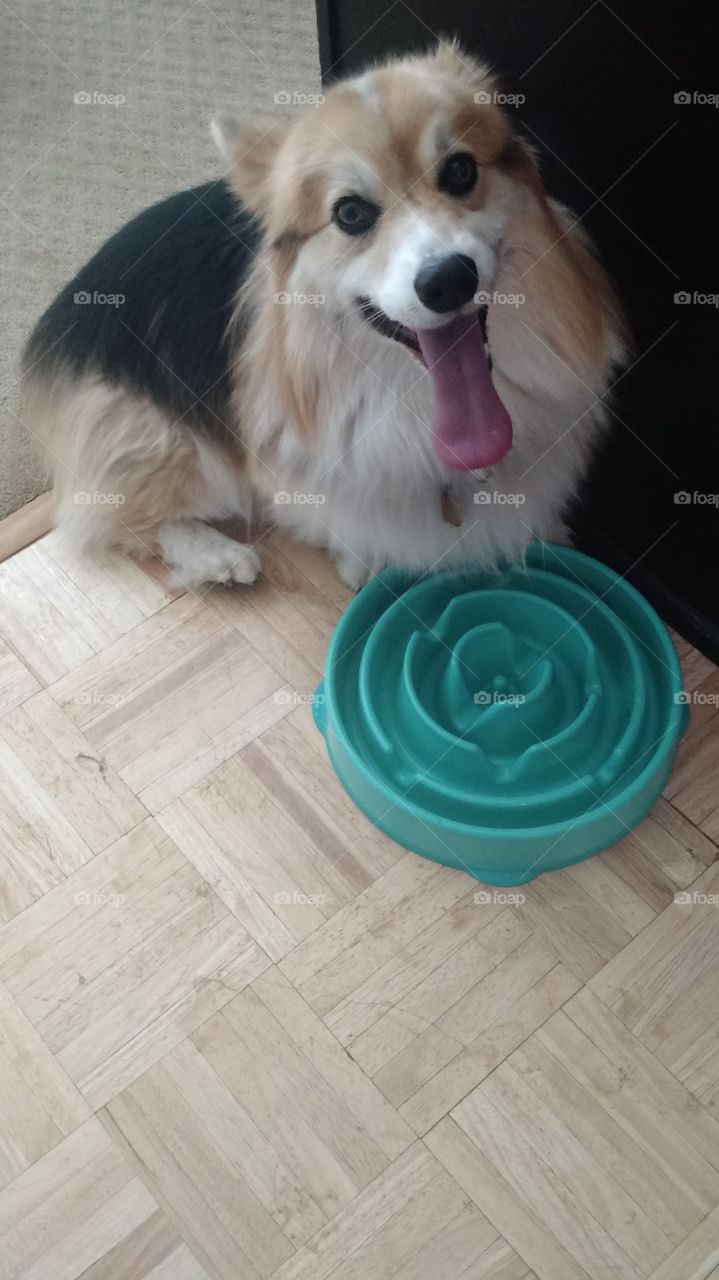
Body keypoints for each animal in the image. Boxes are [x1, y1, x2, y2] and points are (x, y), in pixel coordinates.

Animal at [22, 40, 621, 588]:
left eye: (459, 171)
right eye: (350, 213)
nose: (448, 280)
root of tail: (57, 319)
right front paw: (365, 563)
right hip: (161, 439)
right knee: (118, 517)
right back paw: (219, 557)